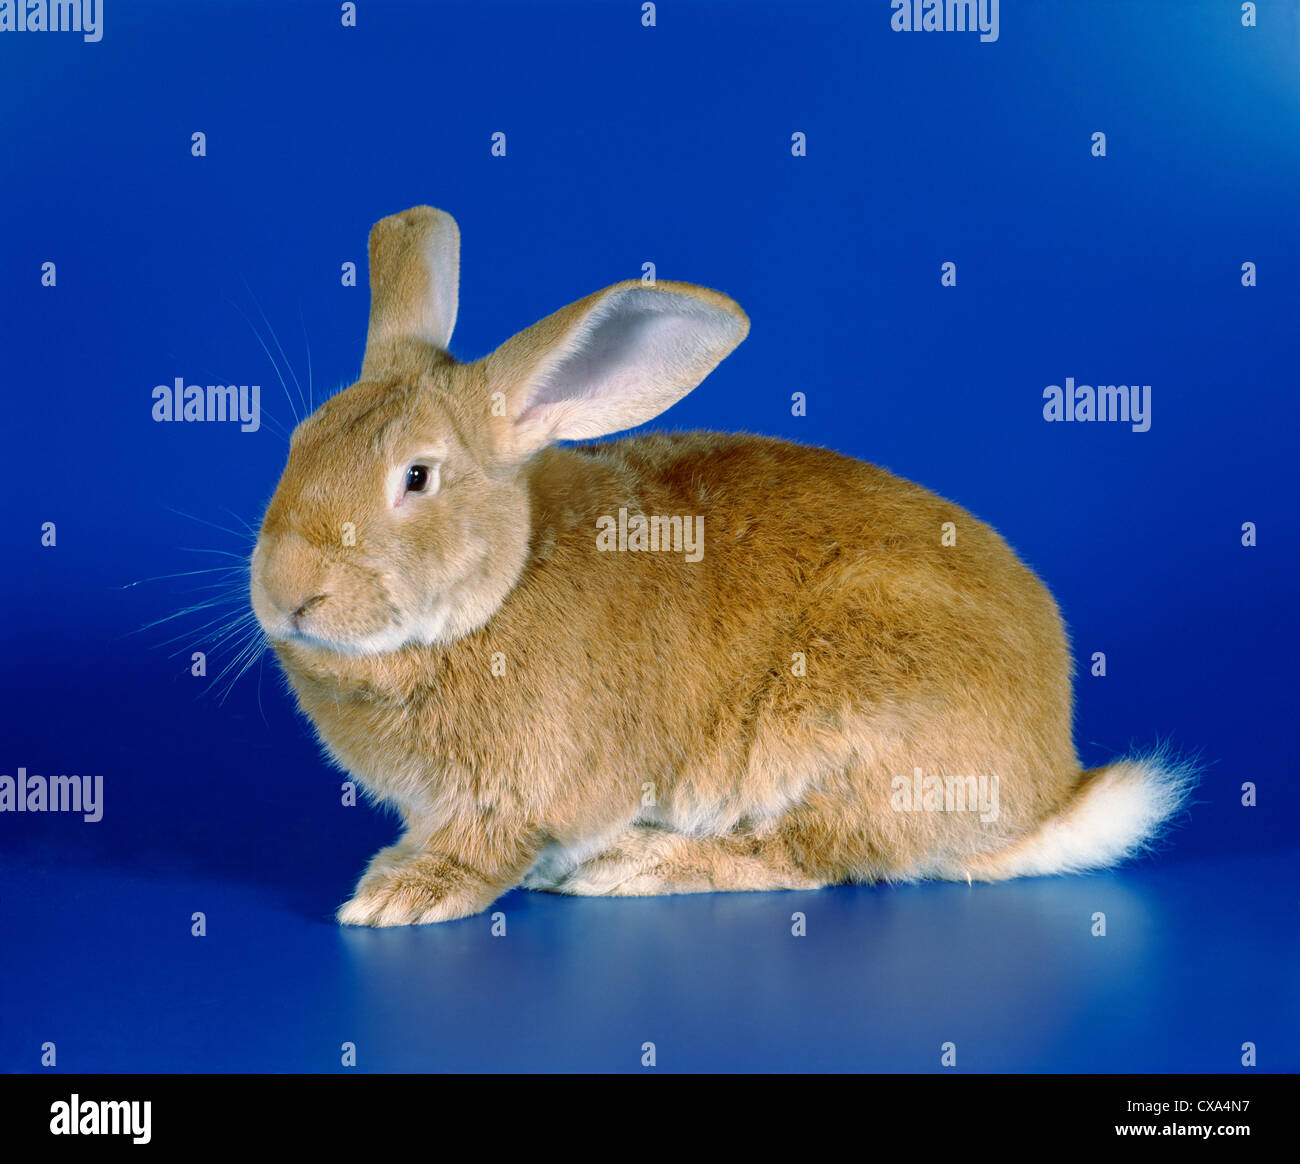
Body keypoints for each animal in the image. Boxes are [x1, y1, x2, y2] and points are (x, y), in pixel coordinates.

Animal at [249, 205, 1196, 926]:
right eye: (297, 444)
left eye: (416, 476)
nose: (286, 593)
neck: (501, 585)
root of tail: (1051, 789)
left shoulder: (521, 793)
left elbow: (490, 850)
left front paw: (402, 896)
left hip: (837, 725)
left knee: (810, 855)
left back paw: (636, 867)